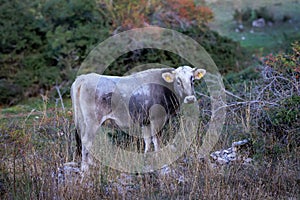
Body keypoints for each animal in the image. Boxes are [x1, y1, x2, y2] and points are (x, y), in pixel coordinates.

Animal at [71, 66, 206, 172]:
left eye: (192, 79)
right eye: (178, 81)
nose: (190, 98)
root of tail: (84, 78)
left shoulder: (146, 121)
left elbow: (147, 140)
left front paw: (146, 157)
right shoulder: (158, 118)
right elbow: (156, 140)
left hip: (83, 121)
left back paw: (91, 163)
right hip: (92, 121)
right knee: (87, 141)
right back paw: (85, 168)